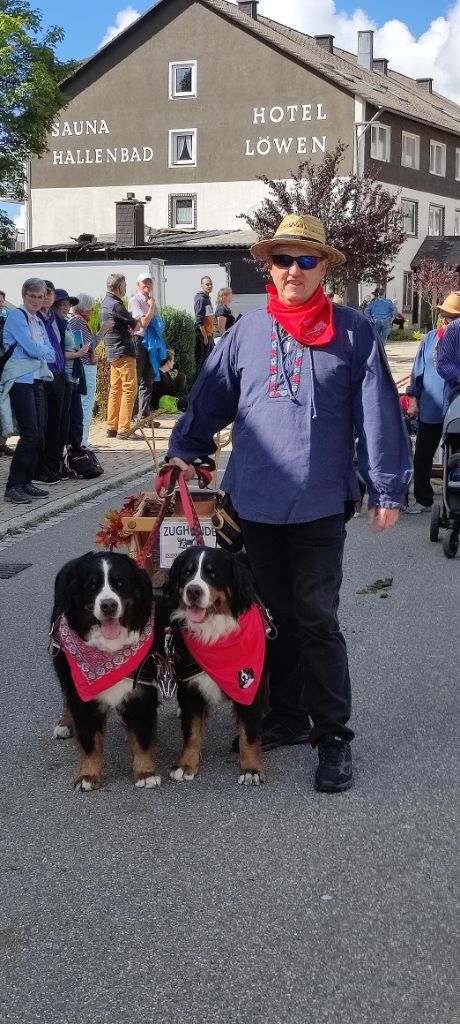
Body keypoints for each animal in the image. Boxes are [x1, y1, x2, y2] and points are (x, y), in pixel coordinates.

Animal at [50, 552, 160, 790]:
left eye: (120, 583)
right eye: (92, 586)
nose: (108, 605)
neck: (110, 651)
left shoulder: (141, 692)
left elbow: (141, 735)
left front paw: (145, 772)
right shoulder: (83, 699)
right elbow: (90, 740)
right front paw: (88, 775)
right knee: (65, 695)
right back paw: (64, 723)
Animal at [164, 548, 266, 786]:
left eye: (212, 574)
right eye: (187, 572)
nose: (193, 590)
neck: (213, 633)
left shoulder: (250, 686)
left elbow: (249, 733)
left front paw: (251, 769)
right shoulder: (190, 686)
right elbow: (192, 730)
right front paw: (186, 765)